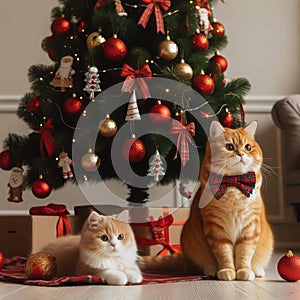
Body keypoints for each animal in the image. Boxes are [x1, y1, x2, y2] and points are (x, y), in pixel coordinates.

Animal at [139, 120, 274, 280]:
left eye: (248, 147)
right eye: (229, 147)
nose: (241, 153)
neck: (233, 184)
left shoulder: (250, 228)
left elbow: (244, 253)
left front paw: (243, 271)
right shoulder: (216, 228)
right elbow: (224, 254)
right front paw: (227, 270)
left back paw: (257, 270)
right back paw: (210, 270)